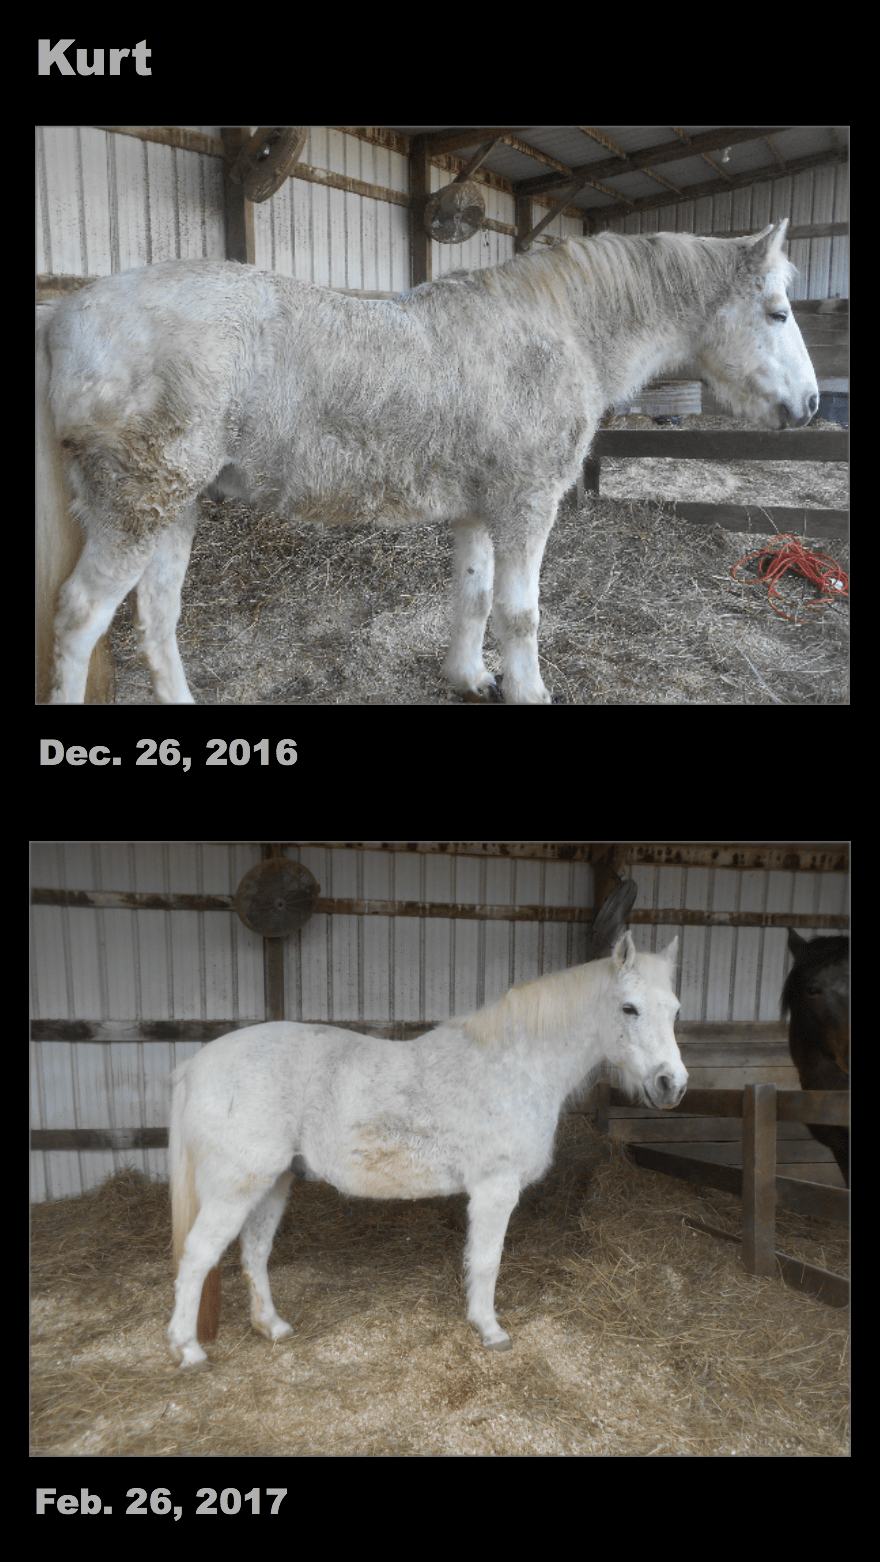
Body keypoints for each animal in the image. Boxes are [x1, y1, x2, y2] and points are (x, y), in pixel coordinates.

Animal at [43, 220, 817, 705]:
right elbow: (519, 612)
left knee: (157, 616)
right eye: (778, 313)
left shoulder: (479, 511)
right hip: (136, 505)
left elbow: (473, 600)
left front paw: (470, 679)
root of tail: (63, 317)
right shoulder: (526, 505)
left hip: (175, 505)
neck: (558, 332)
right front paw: (528, 690)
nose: (810, 405)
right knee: (81, 616)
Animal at [168, 931, 685, 1367]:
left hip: (272, 1183)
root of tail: (196, 1064)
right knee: (197, 1257)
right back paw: (188, 1349)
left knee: (254, 1254)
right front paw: (491, 1331)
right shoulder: (496, 1189)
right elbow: (487, 1261)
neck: (516, 1065)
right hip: (235, 1189)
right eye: (629, 1008)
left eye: (676, 1010)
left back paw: (271, 1326)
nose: (672, 1084)